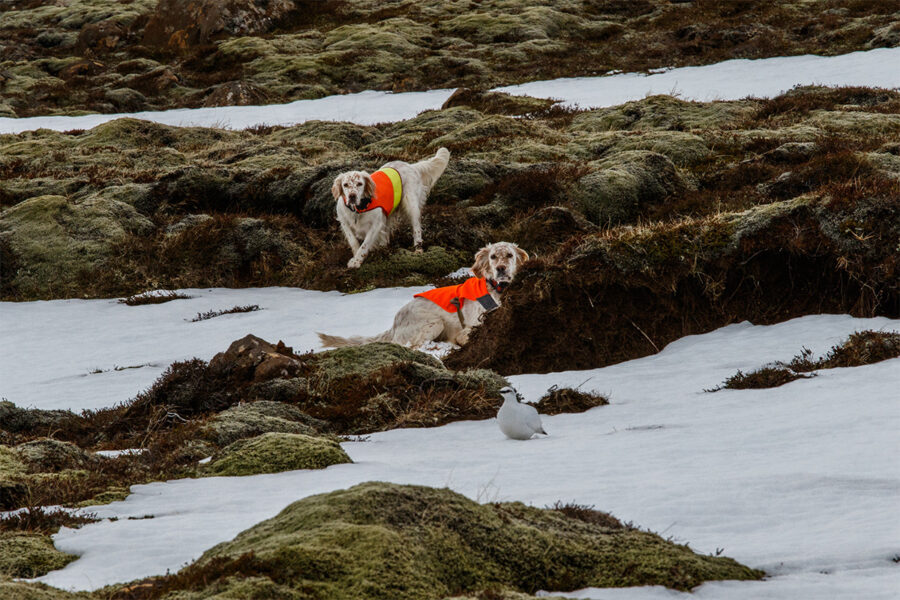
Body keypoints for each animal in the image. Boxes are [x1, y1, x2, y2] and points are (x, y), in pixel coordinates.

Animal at [316, 241, 528, 346]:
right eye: (493, 256)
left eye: (509, 255)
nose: (501, 269)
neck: (496, 288)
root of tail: (395, 324)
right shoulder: (469, 326)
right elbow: (464, 336)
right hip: (435, 323)